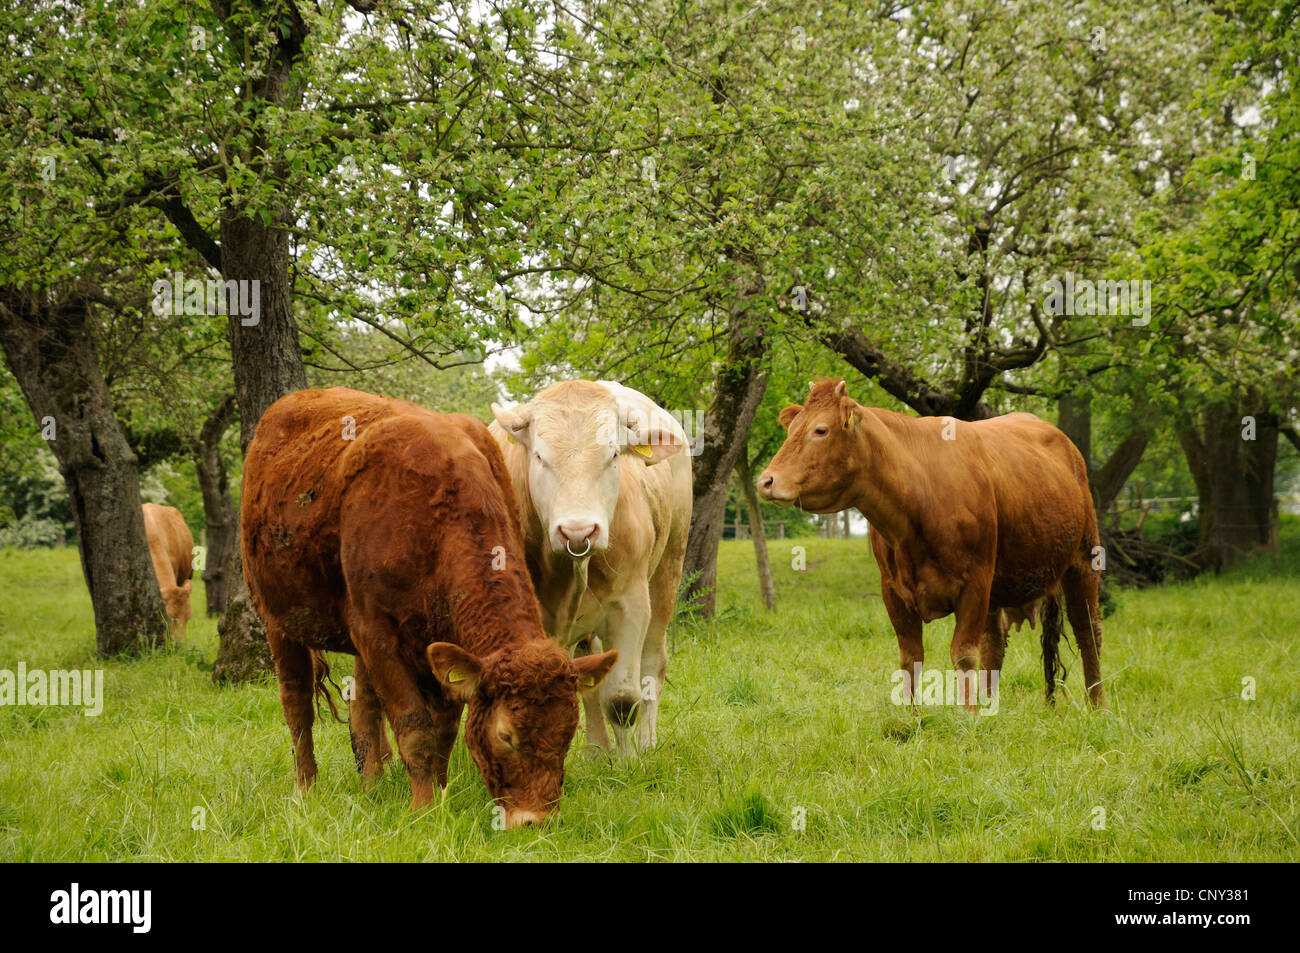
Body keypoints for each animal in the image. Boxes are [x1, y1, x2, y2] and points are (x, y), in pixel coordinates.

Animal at [240, 387, 618, 826]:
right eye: (506, 735)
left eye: (568, 733)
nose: (537, 821)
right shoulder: (377, 633)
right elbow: (415, 726)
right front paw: (424, 808)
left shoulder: (439, 645)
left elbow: (445, 729)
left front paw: (440, 791)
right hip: (276, 618)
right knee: (297, 704)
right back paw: (305, 788)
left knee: (363, 708)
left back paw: (371, 787)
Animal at [488, 374, 691, 754]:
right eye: (539, 456)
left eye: (613, 455)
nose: (578, 530)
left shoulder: (630, 603)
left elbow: (622, 700)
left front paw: (629, 762)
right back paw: (598, 750)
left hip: (668, 570)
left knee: (652, 664)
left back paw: (646, 743)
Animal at [759, 382, 1102, 707]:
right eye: (790, 429)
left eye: (820, 430)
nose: (766, 481)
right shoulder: (893, 590)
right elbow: (911, 658)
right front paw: (913, 718)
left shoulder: (975, 582)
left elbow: (964, 654)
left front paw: (970, 719)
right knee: (994, 642)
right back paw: (990, 705)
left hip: (1084, 560)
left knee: (1089, 633)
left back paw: (1097, 707)